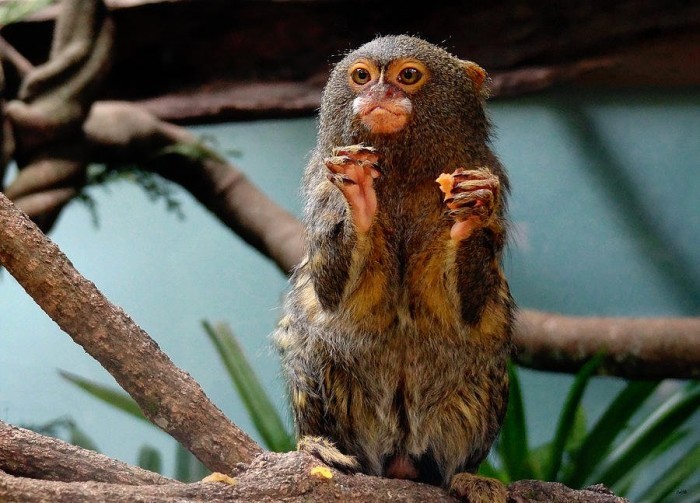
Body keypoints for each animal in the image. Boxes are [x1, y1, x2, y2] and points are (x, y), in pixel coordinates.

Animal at [273, 34, 515, 502]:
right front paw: (360, 201)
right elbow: (326, 292)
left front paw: (470, 214)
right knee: (311, 342)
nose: (380, 93)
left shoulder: (485, 173)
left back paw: (463, 475)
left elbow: (475, 309)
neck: (403, 174)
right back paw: (318, 445)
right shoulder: (322, 186)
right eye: (362, 75)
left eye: (408, 76)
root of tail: (399, 459)